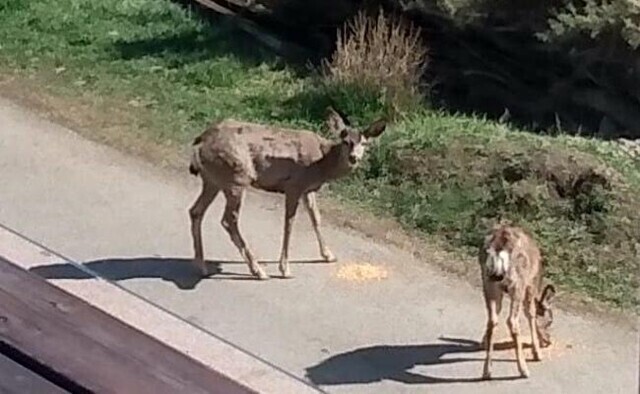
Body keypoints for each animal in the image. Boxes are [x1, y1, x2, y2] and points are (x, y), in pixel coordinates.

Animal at [188, 107, 388, 280]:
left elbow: (316, 218)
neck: (322, 163)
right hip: (236, 177)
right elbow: (289, 223)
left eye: (365, 143)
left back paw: (202, 266)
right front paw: (285, 268)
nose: (354, 157)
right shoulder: (294, 185)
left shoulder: (308, 189)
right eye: (346, 142)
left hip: (213, 180)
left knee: (196, 211)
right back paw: (257, 270)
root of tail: (200, 142)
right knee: (228, 219)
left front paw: (328, 255)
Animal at [480, 222, 556, 378]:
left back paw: (487, 370)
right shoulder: (531, 285)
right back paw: (523, 369)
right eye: (549, 321)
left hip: (488, 280)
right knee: (512, 320)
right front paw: (537, 353)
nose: (549, 340)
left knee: (492, 319)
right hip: (517, 283)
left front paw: (483, 341)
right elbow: (531, 313)